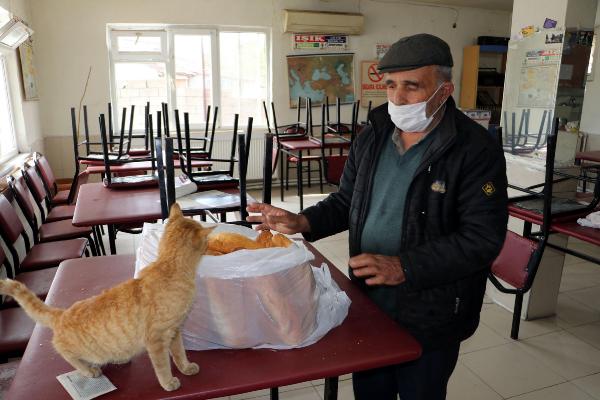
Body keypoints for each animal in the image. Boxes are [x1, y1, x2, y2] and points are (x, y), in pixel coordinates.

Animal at [0, 203, 213, 390]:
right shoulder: (156, 340)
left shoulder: (175, 331)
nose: (210, 244)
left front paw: (186, 367)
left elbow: (179, 353)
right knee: (65, 353)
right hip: (77, 351)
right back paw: (88, 370)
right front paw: (168, 382)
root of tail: (62, 314)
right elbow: (162, 366)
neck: (169, 268)